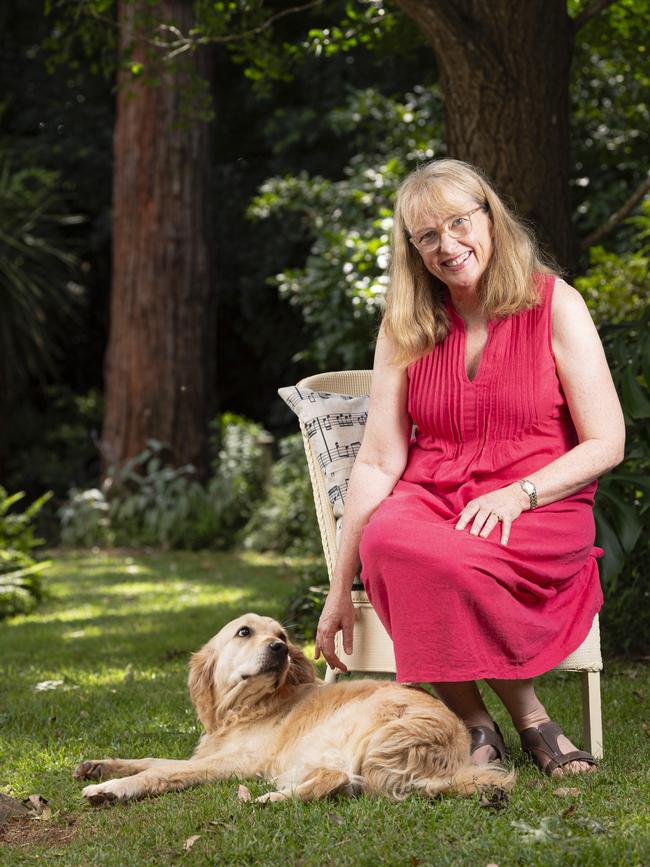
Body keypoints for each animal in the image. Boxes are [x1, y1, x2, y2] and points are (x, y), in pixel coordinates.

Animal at [74, 612, 512, 808]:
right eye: (244, 632)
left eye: (282, 636)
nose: (280, 649)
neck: (246, 708)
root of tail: (451, 757)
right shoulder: (210, 755)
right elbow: (150, 759)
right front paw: (99, 766)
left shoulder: (230, 763)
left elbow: (160, 772)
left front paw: (111, 788)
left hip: (349, 730)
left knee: (338, 779)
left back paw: (269, 799)